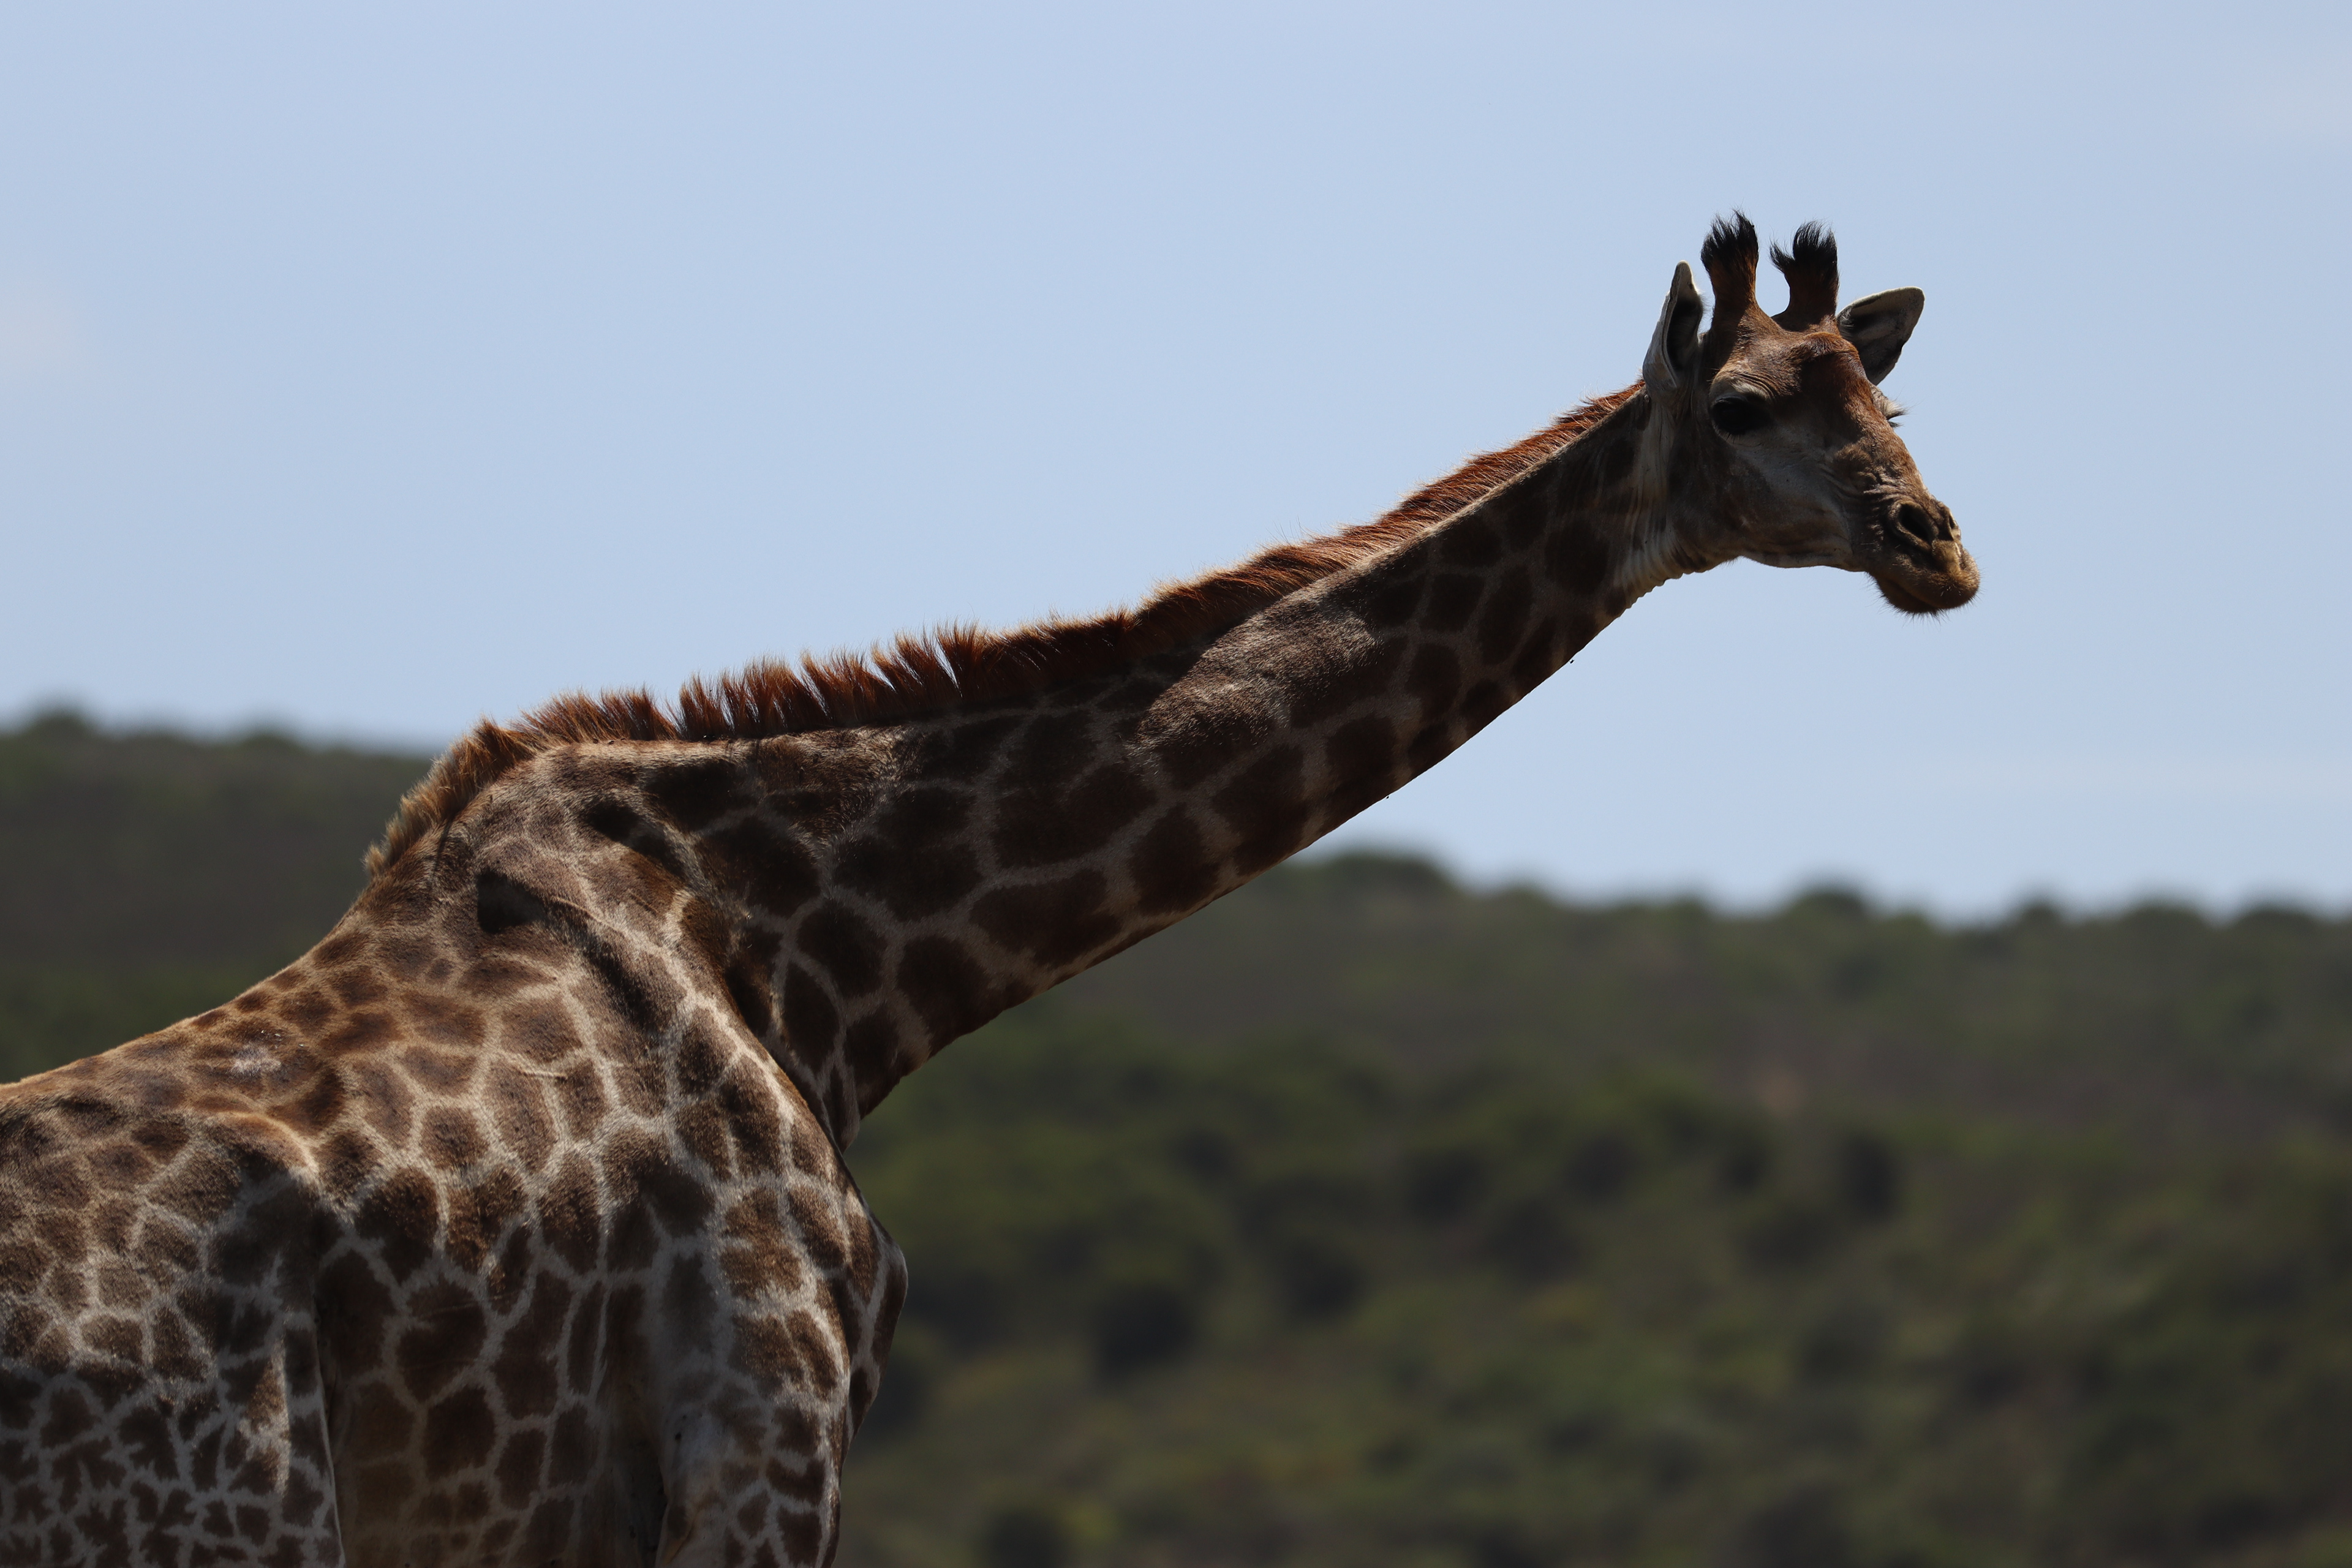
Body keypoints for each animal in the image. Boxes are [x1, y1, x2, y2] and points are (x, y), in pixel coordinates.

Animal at [0, 217, 1972, 1566]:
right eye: (1739, 405)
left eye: (1885, 395)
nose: (1934, 543)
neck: (827, 957)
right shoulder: (766, 1446)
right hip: (216, 1530)